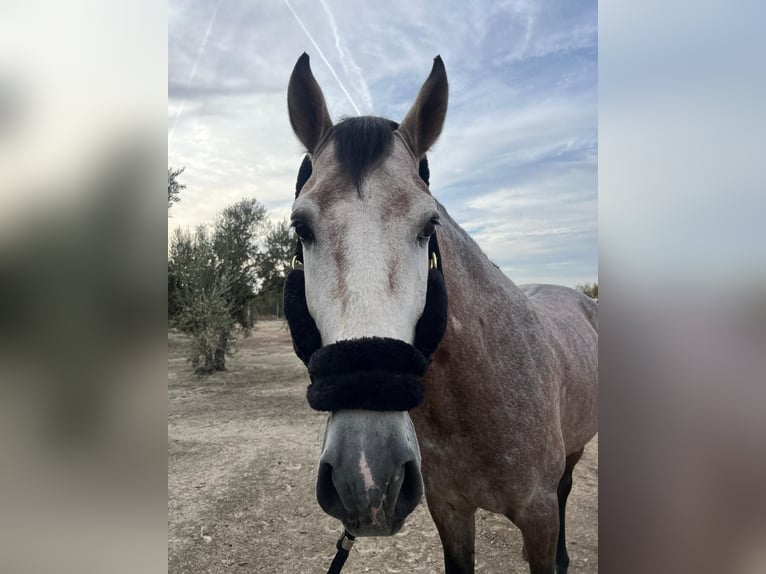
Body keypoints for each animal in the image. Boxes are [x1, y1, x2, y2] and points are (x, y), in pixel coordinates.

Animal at [286, 51, 600, 572]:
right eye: (301, 226)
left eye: (427, 223)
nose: (366, 479)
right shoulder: (449, 511)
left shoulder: (537, 517)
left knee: (567, 488)